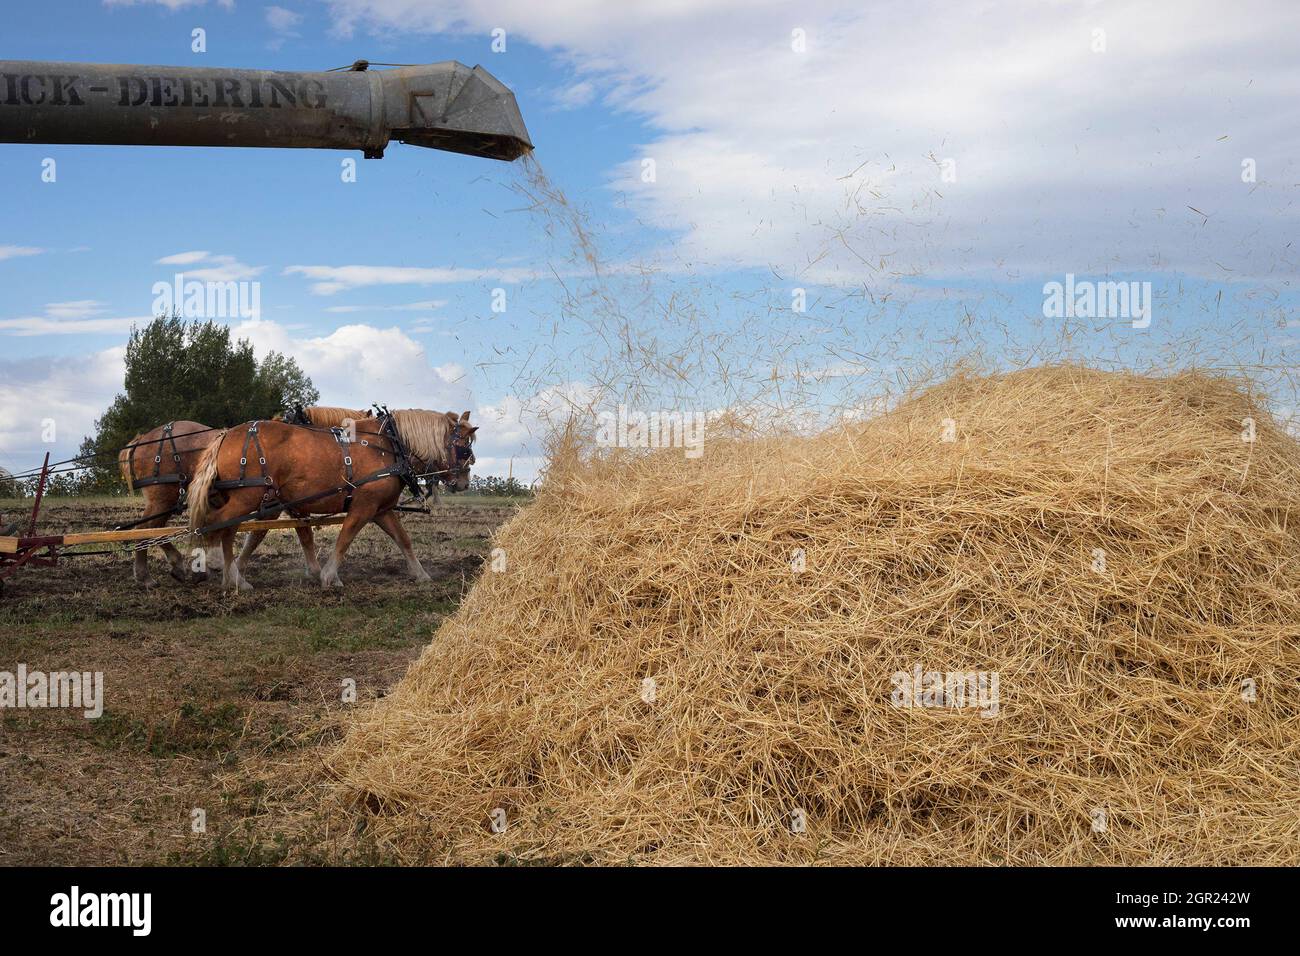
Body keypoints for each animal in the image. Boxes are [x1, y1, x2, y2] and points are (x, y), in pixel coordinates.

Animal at [188, 410, 477, 591]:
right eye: (465, 448)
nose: (464, 483)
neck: (390, 445)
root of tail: (225, 436)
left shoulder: (381, 509)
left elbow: (403, 540)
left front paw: (421, 574)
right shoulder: (363, 506)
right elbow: (345, 537)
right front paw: (329, 576)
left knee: (228, 529)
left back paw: (233, 576)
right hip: (248, 497)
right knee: (218, 524)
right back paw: (226, 572)